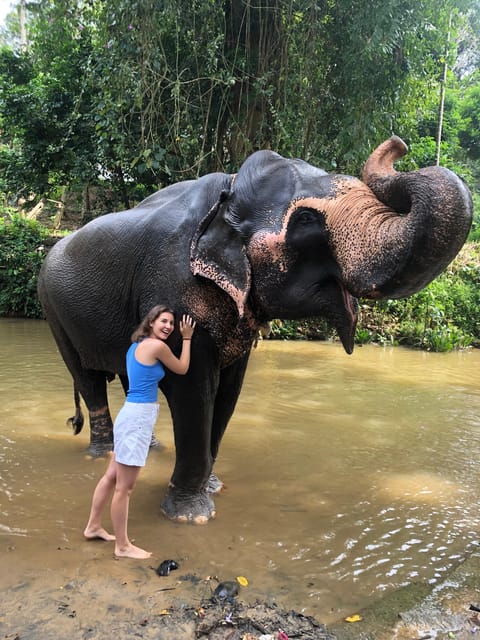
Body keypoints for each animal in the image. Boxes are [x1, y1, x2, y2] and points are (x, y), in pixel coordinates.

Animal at [37, 138, 472, 524]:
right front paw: (191, 516)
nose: (400, 144)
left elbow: (229, 391)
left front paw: (213, 487)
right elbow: (193, 389)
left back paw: (151, 448)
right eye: (307, 221)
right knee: (89, 379)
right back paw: (102, 454)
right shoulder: (171, 286)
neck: (227, 193)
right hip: (53, 309)